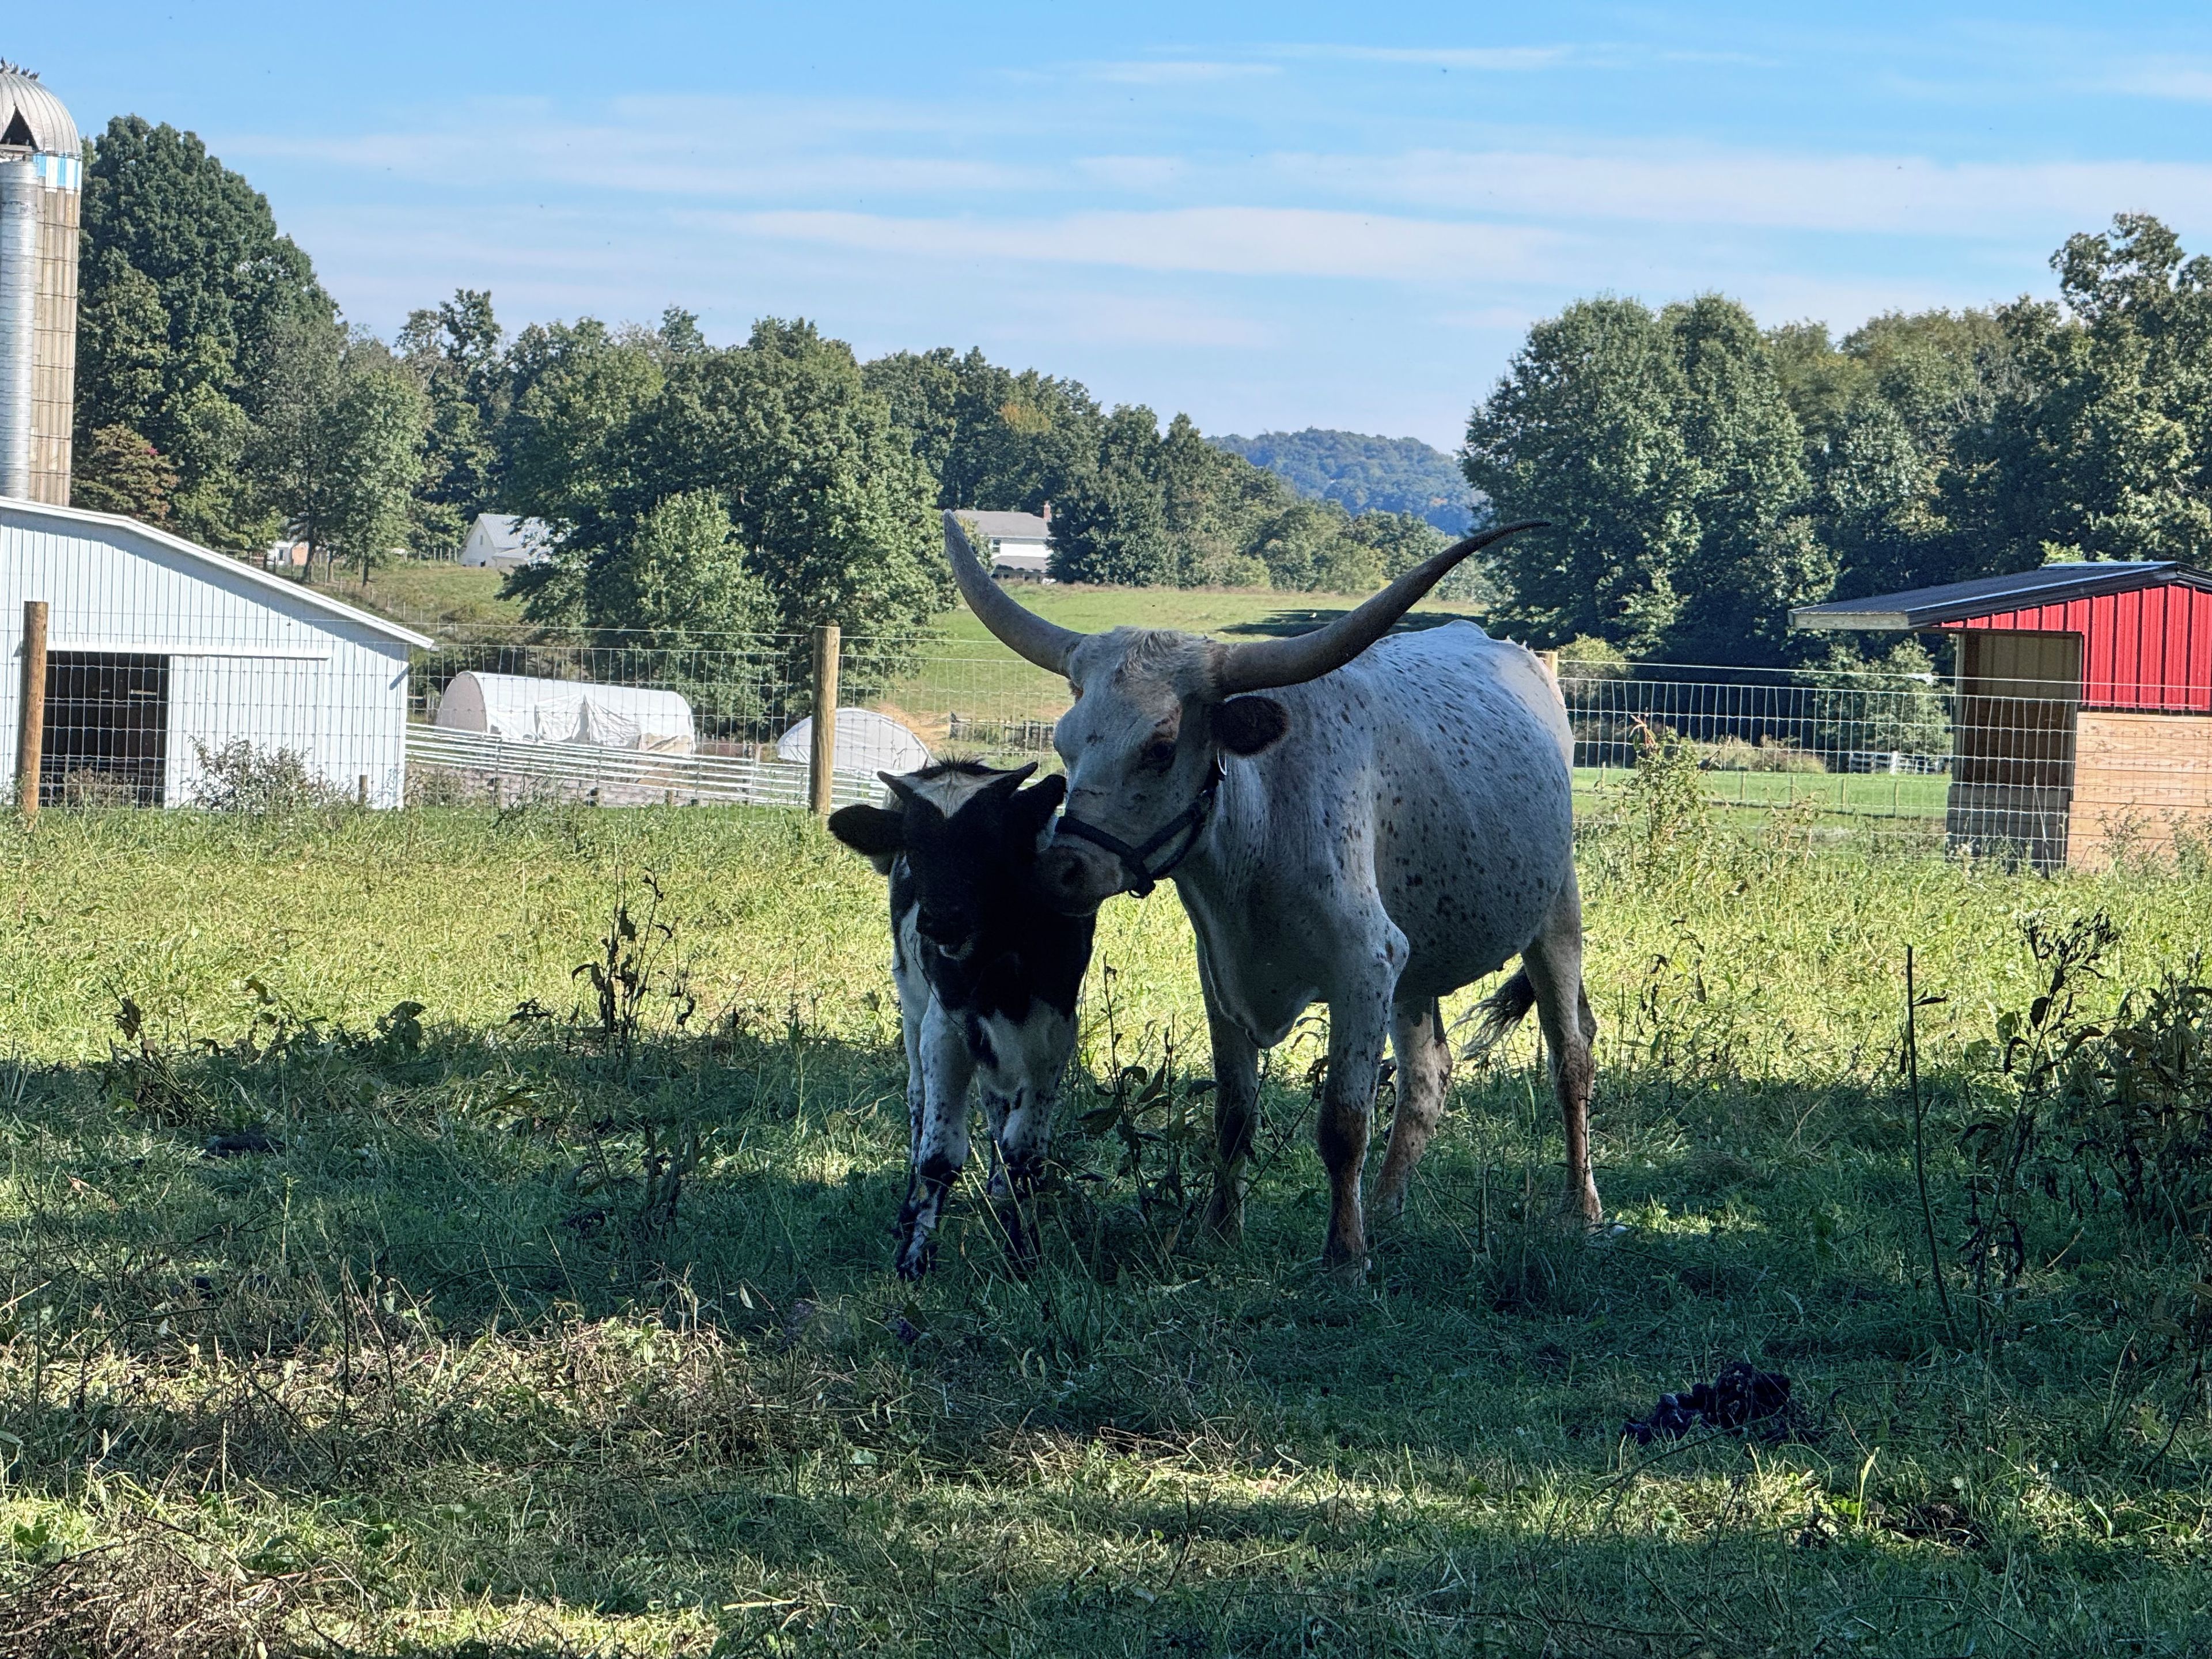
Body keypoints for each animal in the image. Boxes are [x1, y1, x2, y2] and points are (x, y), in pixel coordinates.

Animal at [828, 760, 1093, 1278]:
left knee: (996, 1107)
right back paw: (909, 1211)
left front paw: (1022, 1248)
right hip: (913, 1009)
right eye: (913, 845)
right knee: (918, 1104)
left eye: (990, 840)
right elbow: (939, 1155)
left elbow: (1024, 1150)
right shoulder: (944, 1028)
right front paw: (915, 1256)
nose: (942, 919)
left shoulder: (1054, 1033)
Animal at [940, 510, 1596, 1279]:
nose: (1061, 870)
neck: (1256, 833)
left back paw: (1582, 1207)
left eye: (1160, 747)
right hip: (1415, 960)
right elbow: (1234, 1111)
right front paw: (1222, 1231)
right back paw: (1390, 1209)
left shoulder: (1363, 961)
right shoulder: (1225, 973)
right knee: (1427, 1075)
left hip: (1554, 913)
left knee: (1570, 1055)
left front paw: (1344, 1255)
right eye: (1067, 743)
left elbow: (1343, 1120)